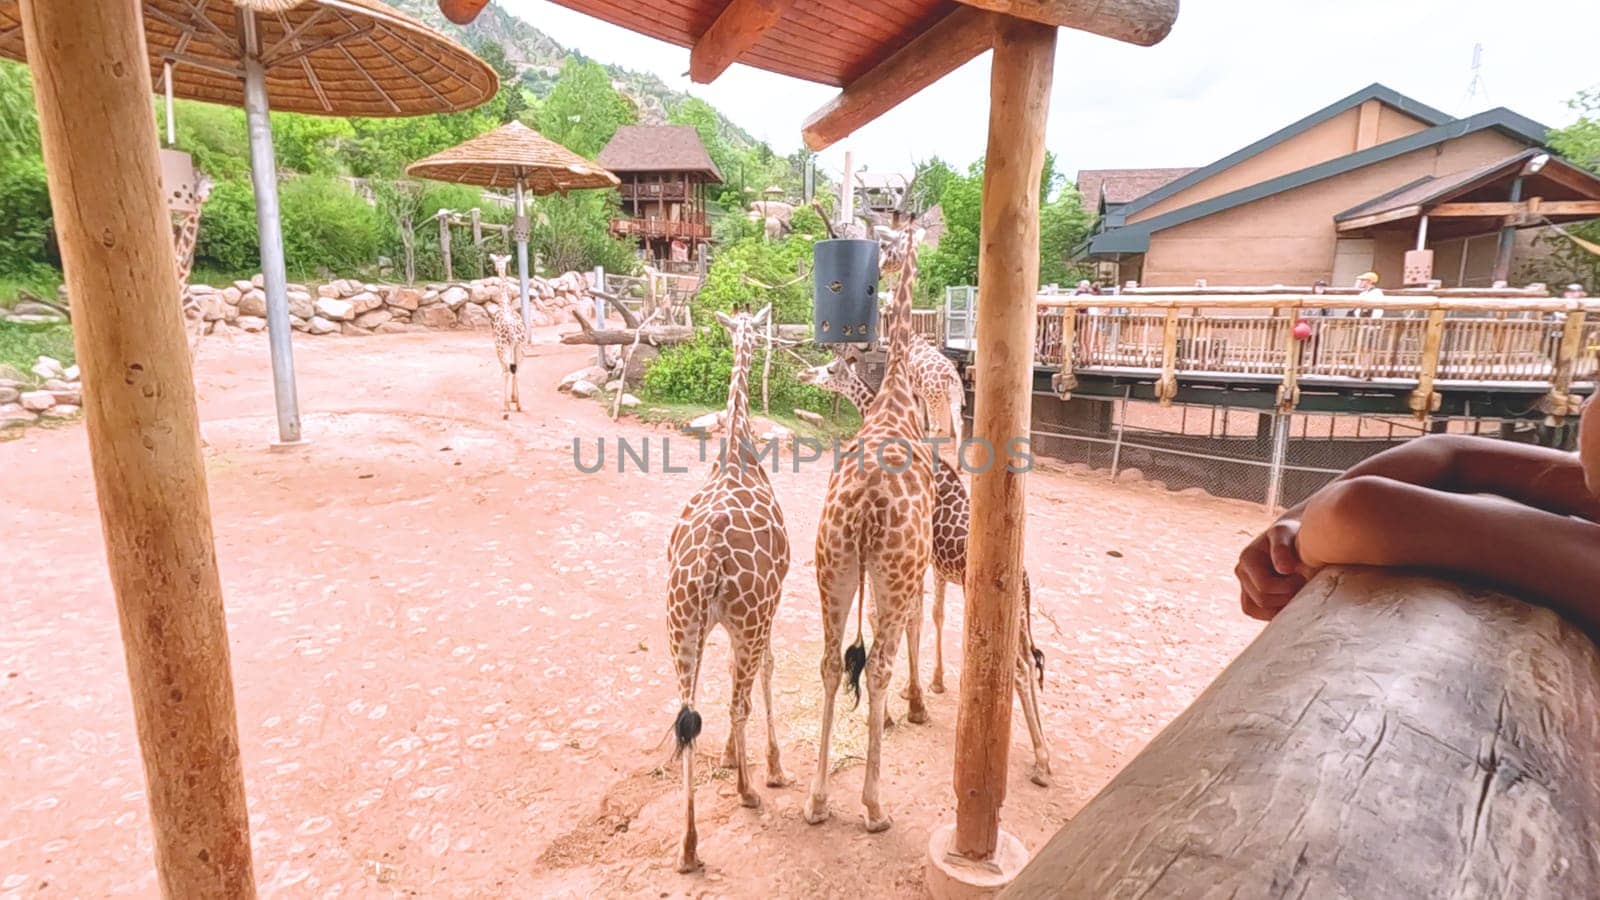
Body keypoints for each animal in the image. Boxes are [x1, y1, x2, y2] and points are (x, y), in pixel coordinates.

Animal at [486, 253, 531, 419]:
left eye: (495, 262)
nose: (494, 268)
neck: (504, 304)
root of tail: (512, 332)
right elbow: (514, 369)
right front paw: (514, 399)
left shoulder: (497, 345)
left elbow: (504, 369)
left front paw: (508, 401)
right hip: (521, 347)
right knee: (516, 369)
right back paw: (519, 405)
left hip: (503, 347)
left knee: (507, 370)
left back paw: (505, 406)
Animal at [796, 353, 1049, 781]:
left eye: (830, 369)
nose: (802, 373)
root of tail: (1025, 580)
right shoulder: (931, 566)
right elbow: (928, 617)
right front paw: (924, 689)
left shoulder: (918, 561)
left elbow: (908, 619)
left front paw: (909, 704)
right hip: (1021, 616)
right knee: (1030, 662)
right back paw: (1042, 756)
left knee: (1015, 668)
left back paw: (1038, 759)